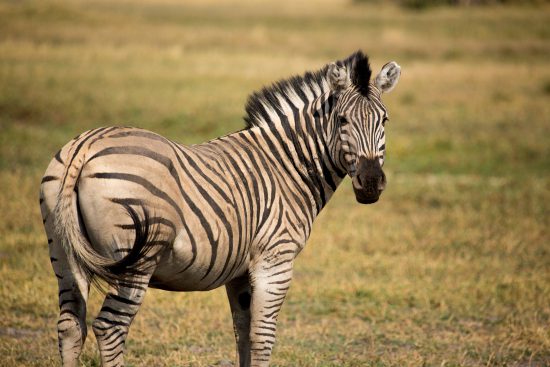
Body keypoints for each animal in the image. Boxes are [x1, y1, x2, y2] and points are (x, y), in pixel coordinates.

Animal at [38, 50, 402, 366]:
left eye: (385, 120)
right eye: (342, 120)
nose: (371, 183)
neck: (287, 168)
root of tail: (85, 147)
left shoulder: (240, 271)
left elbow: (243, 334)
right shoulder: (276, 261)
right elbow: (263, 337)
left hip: (63, 254)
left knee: (70, 325)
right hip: (135, 260)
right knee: (110, 327)